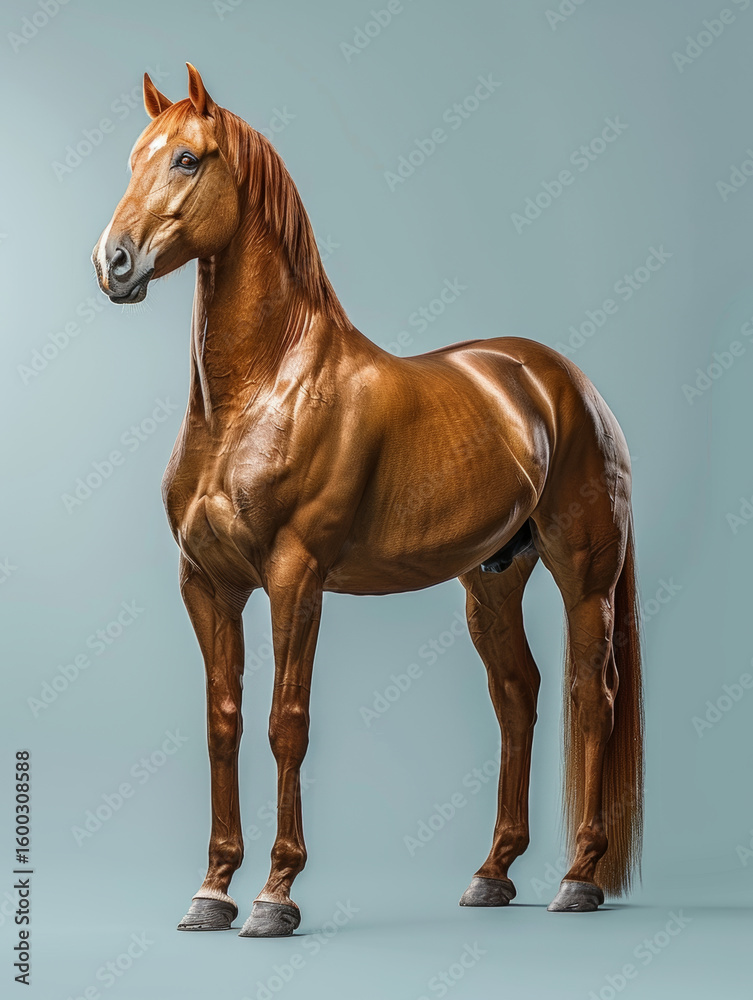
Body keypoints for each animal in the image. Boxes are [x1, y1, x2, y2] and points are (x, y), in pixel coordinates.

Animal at [92, 64, 644, 938]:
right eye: (132, 159)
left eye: (186, 158)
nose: (113, 262)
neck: (259, 391)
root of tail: (564, 383)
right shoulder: (206, 584)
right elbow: (224, 723)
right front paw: (211, 891)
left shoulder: (295, 578)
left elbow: (285, 723)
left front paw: (275, 896)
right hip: (492, 578)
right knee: (516, 695)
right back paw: (492, 873)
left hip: (584, 575)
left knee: (592, 695)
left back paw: (578, 879)